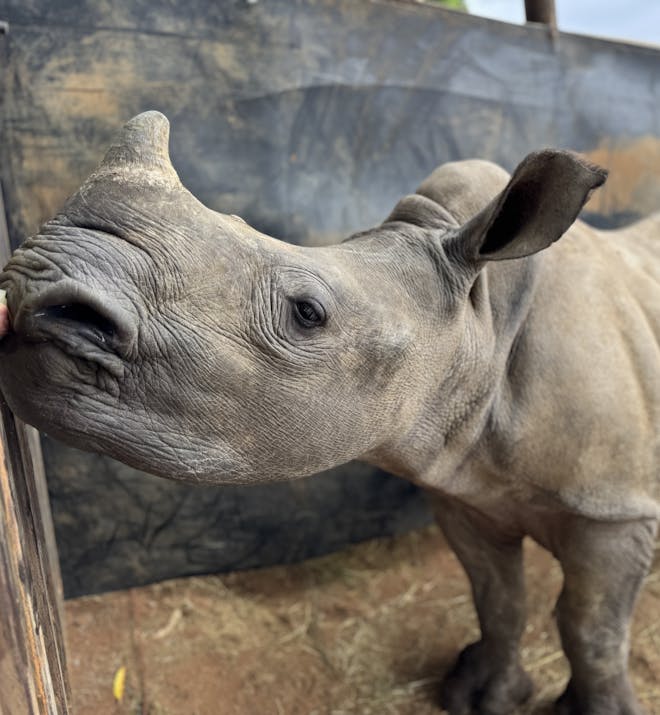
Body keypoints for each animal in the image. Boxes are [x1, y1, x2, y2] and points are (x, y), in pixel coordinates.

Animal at [0, 112, 657, 715]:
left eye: (307, 313)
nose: (31, 290)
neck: (484, 318)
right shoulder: (464, 486)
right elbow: (496, 596)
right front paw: (480, 696)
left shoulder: (614, 509)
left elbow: (590, 629)